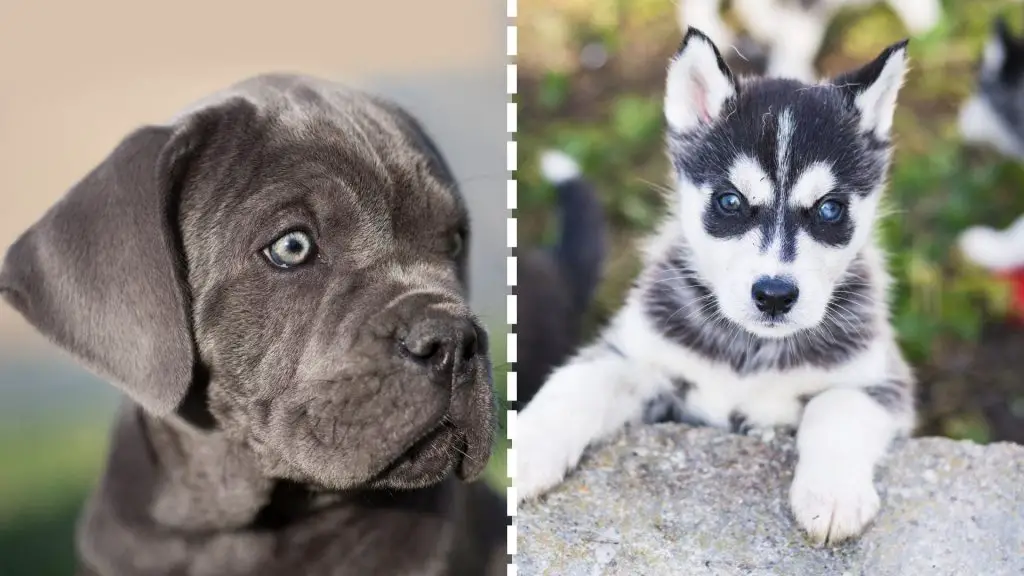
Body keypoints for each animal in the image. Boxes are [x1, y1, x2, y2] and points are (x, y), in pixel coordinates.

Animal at [516, 29, 917, 545]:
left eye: (829, 209)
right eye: (730, 201)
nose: (774, 295)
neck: (747, 353)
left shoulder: (882, 381)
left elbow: (838, 406)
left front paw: (832, 495)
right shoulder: (640, 358)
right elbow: (578, 383)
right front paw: (526, 450)